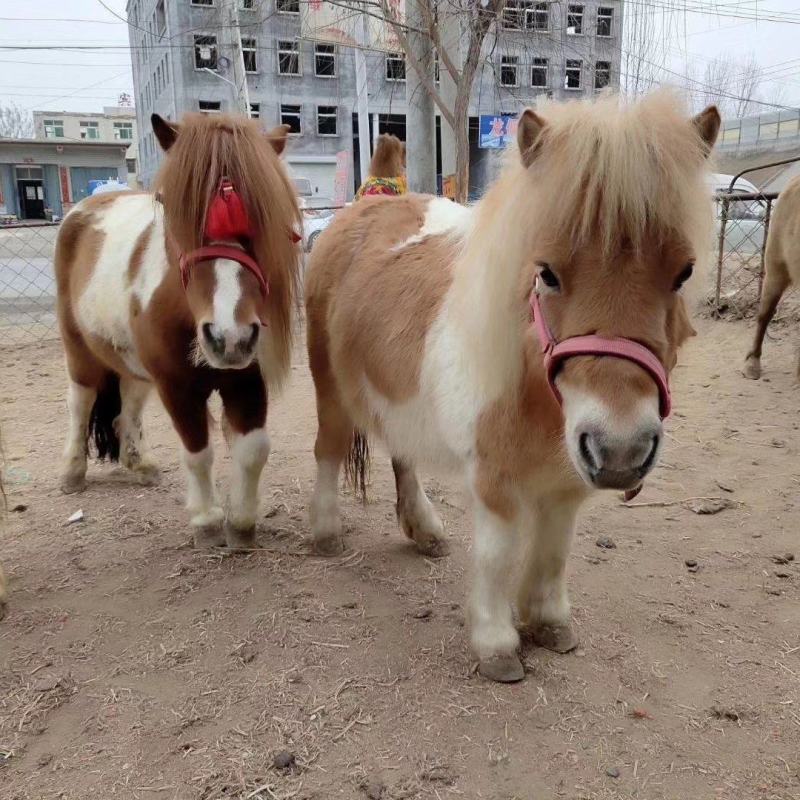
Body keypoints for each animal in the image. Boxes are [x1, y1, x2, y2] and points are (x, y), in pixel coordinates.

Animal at [54, 113, 301, 549]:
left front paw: (242, 522)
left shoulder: (248, 379)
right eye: (175, 207)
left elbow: (253, 449)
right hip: (79, 350)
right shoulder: (176, 384)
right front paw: (207, 520)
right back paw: (72, 471)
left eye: (264, 211)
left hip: (132, 361)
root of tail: (83, 208)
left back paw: (140, 463)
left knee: (130, 405)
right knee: (80, 403)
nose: (228, 336)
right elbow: (198, 451)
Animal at [305, 91, 719, 682]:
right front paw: (497, 644)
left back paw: (424, 529)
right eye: (546, 273)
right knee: (329, 448)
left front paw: (548, 624)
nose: (621, 450)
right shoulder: (494, 478)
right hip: (330, 386)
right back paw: (327, 534)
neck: (538, 393)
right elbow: (498, 555)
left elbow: (553, 550)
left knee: (403, 452)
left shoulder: (567, 481)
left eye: (683, 272)